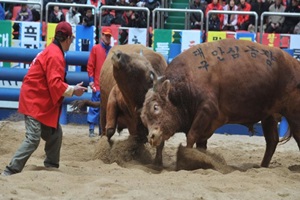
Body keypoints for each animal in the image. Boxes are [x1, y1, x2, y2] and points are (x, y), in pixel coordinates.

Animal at [142, 38, 300, 167]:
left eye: (156, 107)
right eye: (143, 118)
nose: (151, 137)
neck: (187, 81)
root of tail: (295, 64)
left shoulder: (206, 111)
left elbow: (192, 136)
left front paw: (186, 159)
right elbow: (200, 143)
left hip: (293, 114)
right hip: (269, 116)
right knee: (272, 141)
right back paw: (263, 166)